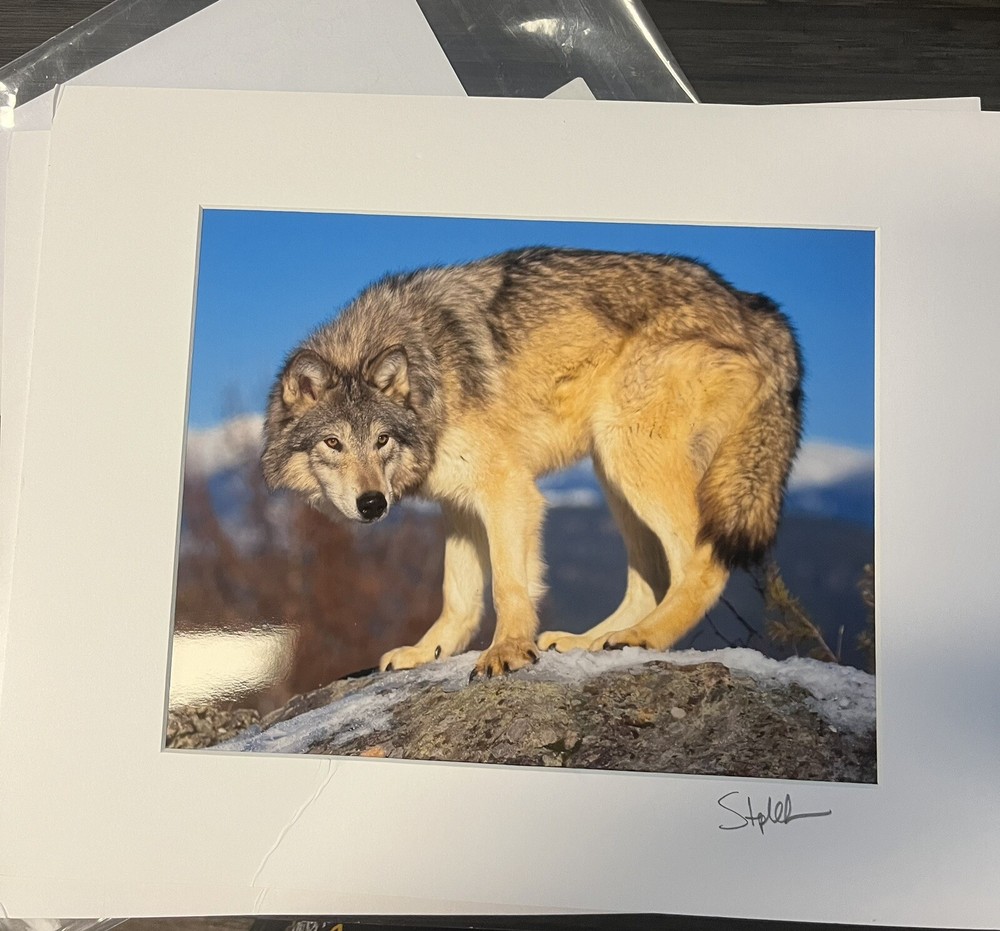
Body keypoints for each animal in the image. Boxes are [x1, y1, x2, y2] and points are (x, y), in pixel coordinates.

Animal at [261, 247, 803, 679]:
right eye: (333, 442)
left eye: (382, 440)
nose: (373, 503)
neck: (430, 369)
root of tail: (756, 306)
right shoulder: (460, 505)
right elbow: (459, 595)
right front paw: (427, 652)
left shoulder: (507, 489)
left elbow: (507, 584)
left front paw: (507, 650)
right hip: (613, 472)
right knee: (648, 581)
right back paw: (592, 641)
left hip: (629, 455)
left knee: (700, 562)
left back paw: (644, 637)